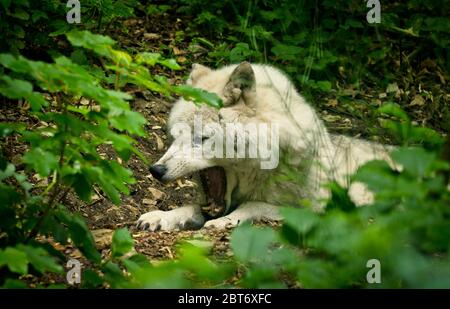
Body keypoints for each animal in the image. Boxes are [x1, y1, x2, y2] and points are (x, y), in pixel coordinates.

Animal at [137, 62, 394, 230]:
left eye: (202, 138)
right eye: (175, 136)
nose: (156, 170)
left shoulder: (309, 210)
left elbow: (253, 205)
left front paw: (224, 221)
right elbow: (191, 206)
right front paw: (161, 217)